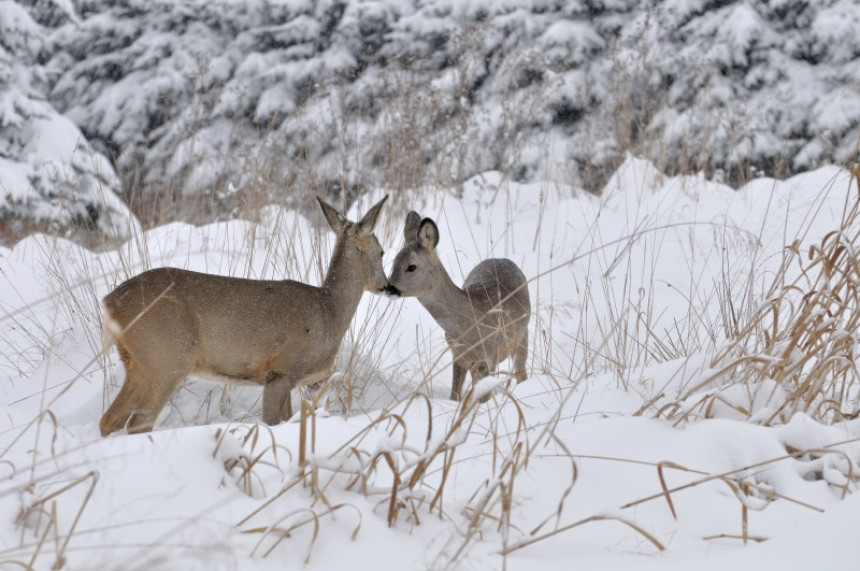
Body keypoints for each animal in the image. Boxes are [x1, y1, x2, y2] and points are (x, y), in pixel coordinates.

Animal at [98, 194, 390, 436]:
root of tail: (109, 302)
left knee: (109, 420)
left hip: (138, 363)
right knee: (137, 423)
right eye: (382, 251)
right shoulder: (281, 370)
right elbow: (272, 423)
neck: (330, 311)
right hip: (168, 358)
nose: (388, 286)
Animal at [384, 212, 532, 404]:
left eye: (411, 267)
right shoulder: (458, 356)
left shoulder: (489, 358)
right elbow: (454, 396)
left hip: (522, 336)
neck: (467, 326)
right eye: (393, 262)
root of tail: (504, 260)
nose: (389, 288)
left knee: (521, 373)